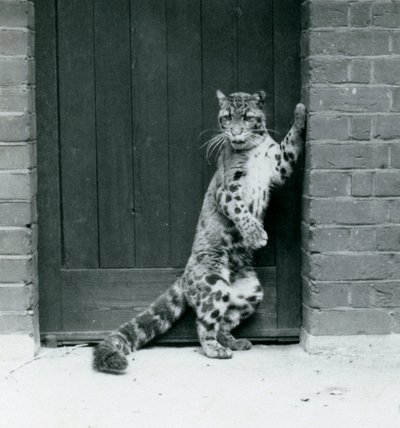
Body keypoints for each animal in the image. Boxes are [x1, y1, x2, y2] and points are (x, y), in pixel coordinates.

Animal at [94, 91, 306, 374]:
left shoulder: (278, 166)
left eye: (247, 117)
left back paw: (234, 342)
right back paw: (216, 350)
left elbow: (291, 142)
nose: (235, 133)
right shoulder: (227, 190)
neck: (252, 149)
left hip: (249, 293)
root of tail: (185, 276)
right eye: (227, 117)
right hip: (213, 285)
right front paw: (256, 235)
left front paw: (301, 111)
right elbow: (241, 210)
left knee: (225, 321)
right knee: (204, 324)